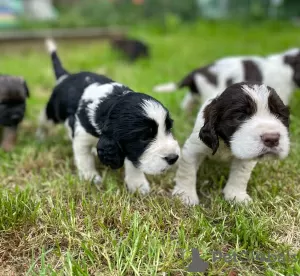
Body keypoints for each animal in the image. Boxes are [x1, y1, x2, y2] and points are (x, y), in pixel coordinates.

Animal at [36, 39, 179, 194]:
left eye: (168, 129)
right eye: (144, 137)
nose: (174, 158)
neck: (108, 102)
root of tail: (66, 76)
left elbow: (133, 162)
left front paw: (138, 184)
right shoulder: (82, 137)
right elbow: (84, 158)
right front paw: (90, 177)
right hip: (52, 112)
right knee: (44, 120)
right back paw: (40, 135)